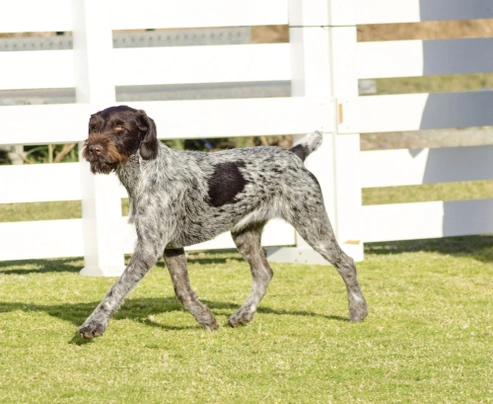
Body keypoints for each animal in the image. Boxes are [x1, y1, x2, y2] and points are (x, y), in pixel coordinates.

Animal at [79, 105, 368, 340]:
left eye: (120, 127)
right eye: (94, 127)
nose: (93, 149)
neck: (145, 171)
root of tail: (293, 153)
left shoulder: (149, 248)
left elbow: (116, 290)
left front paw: (94, 324)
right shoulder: (169, 246)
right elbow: (183, 292)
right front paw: (206, 318)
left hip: (312, 225)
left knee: (346, 262)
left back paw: (358, 310)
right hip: (244, 233)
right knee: (264, 273)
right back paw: (243, 314)